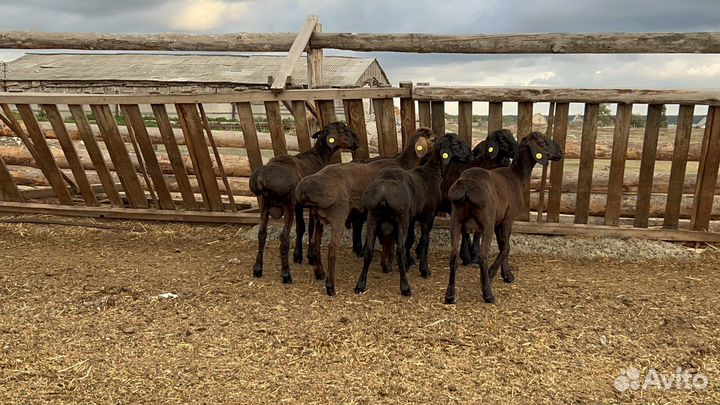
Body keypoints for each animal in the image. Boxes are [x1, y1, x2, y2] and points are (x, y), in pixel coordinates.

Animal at [249, 122, 360, 284]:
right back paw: (286, 274)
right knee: (284, 238)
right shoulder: (310, 205)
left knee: (262, 233)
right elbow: (310, 228)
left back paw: (257, 269)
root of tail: (261, 179)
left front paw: (298, 255)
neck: (319, 157)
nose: (357, 143)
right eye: (343, 130)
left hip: (265, 205)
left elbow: (301, 228)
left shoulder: (299, 206)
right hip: (286, 205)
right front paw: (310, 256)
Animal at [294, 128, 436, 295]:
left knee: (315, 242)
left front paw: (386, 264)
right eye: (433, 139)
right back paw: (330, 286)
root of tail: (306, 188)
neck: (403, 163)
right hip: (338, 216)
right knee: (332, 246)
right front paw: (389, 264)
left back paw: (320, 273)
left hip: (318, 217)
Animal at [355, 133, 471, 296]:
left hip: (373, 218)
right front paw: (424, 270)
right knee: (399, 251)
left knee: (369, 251)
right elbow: (424, 241)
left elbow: (411, 240)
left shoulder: (413, 217)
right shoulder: (428, 215)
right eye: (457, 143)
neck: (433, 172)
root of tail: (384, 191)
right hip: (400, 218)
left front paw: (411, 263)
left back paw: (360, 285)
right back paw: (405, 287)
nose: (470, 154)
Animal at [443, 131, 563, 304]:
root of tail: (466, 188)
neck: (518, 176)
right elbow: (506, 247)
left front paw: (506, 274)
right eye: (542, 142)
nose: (560, 152)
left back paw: (450, 295)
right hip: (486, 222)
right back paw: (488, 293)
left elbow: (502, 246)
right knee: (483, 256)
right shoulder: (507, 218)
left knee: (453, 256)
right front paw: (494, 274)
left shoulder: (498, 221)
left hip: (456, 221)